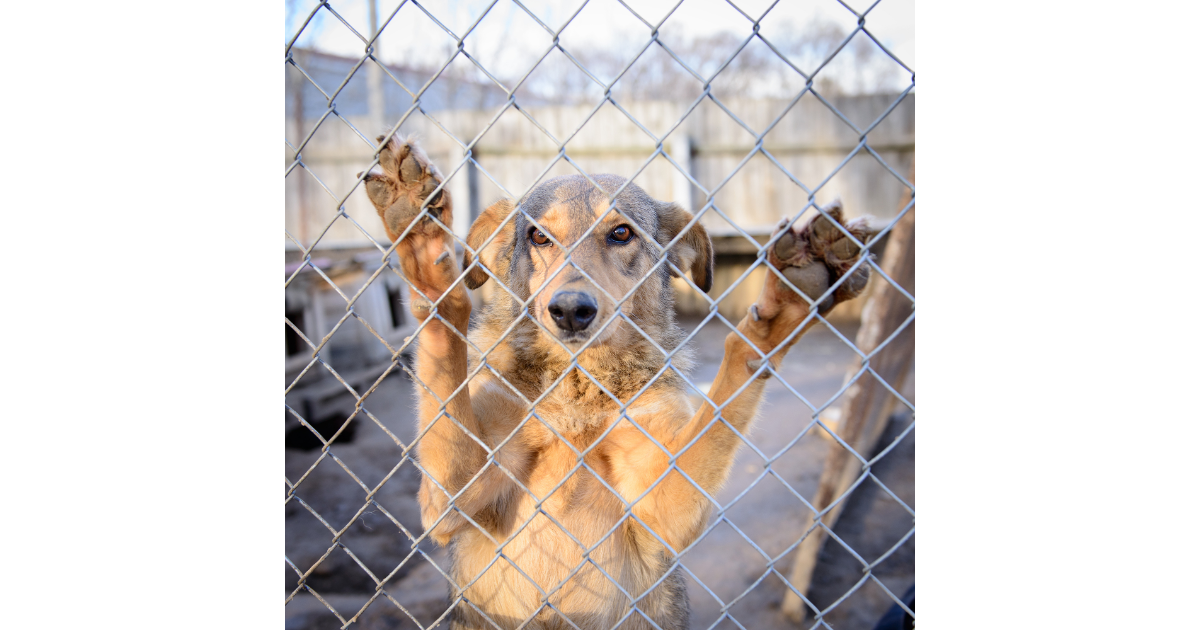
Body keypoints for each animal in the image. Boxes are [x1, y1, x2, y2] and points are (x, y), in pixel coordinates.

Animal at [360, 135, 878, 624]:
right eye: (539, 237)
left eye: (621, 233)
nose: (571, 310)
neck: (579, 390)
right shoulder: (451, 497)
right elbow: (444, 338)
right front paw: (424, 245)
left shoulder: (664, 506)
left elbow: (728, 390)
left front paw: (788, 303)